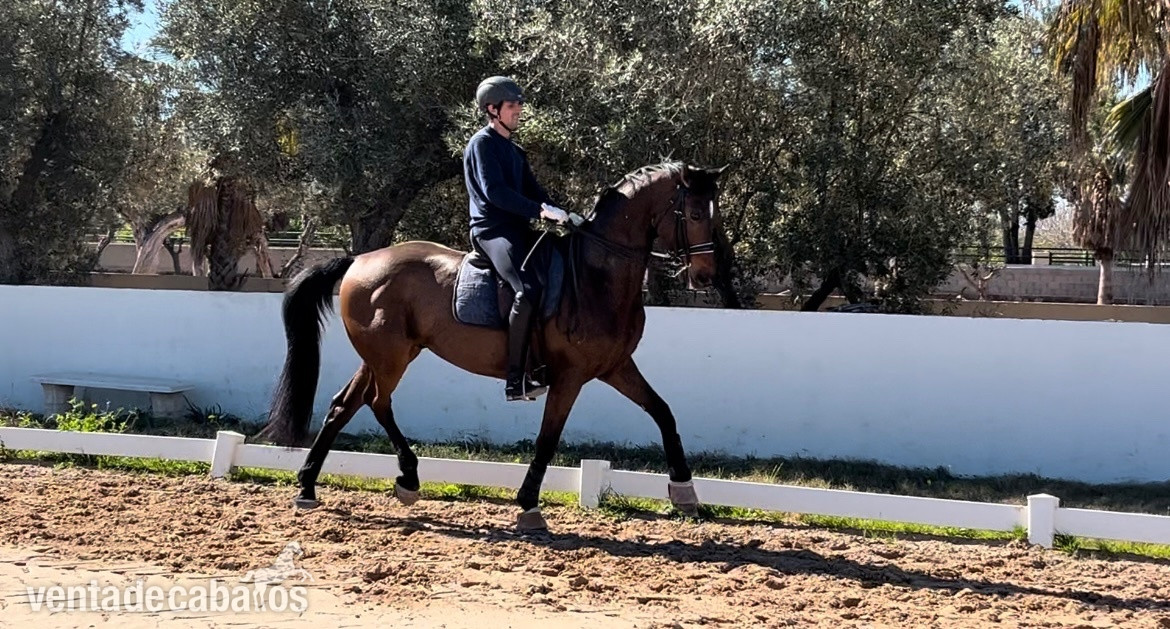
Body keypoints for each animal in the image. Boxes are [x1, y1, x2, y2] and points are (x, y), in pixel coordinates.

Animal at [257, 160, 728, 531]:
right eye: (694, 212)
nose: (705, 276)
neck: (598, 275)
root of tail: (360, 260)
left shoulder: (616, 367)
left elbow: (663, 413)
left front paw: (684, 490)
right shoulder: (570, 377)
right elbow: (548, 439)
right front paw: (528, 505)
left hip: (385, 355)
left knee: (344, 405)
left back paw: (308, 486)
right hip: (390, 359)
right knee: (377, 402)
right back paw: (407, 478)